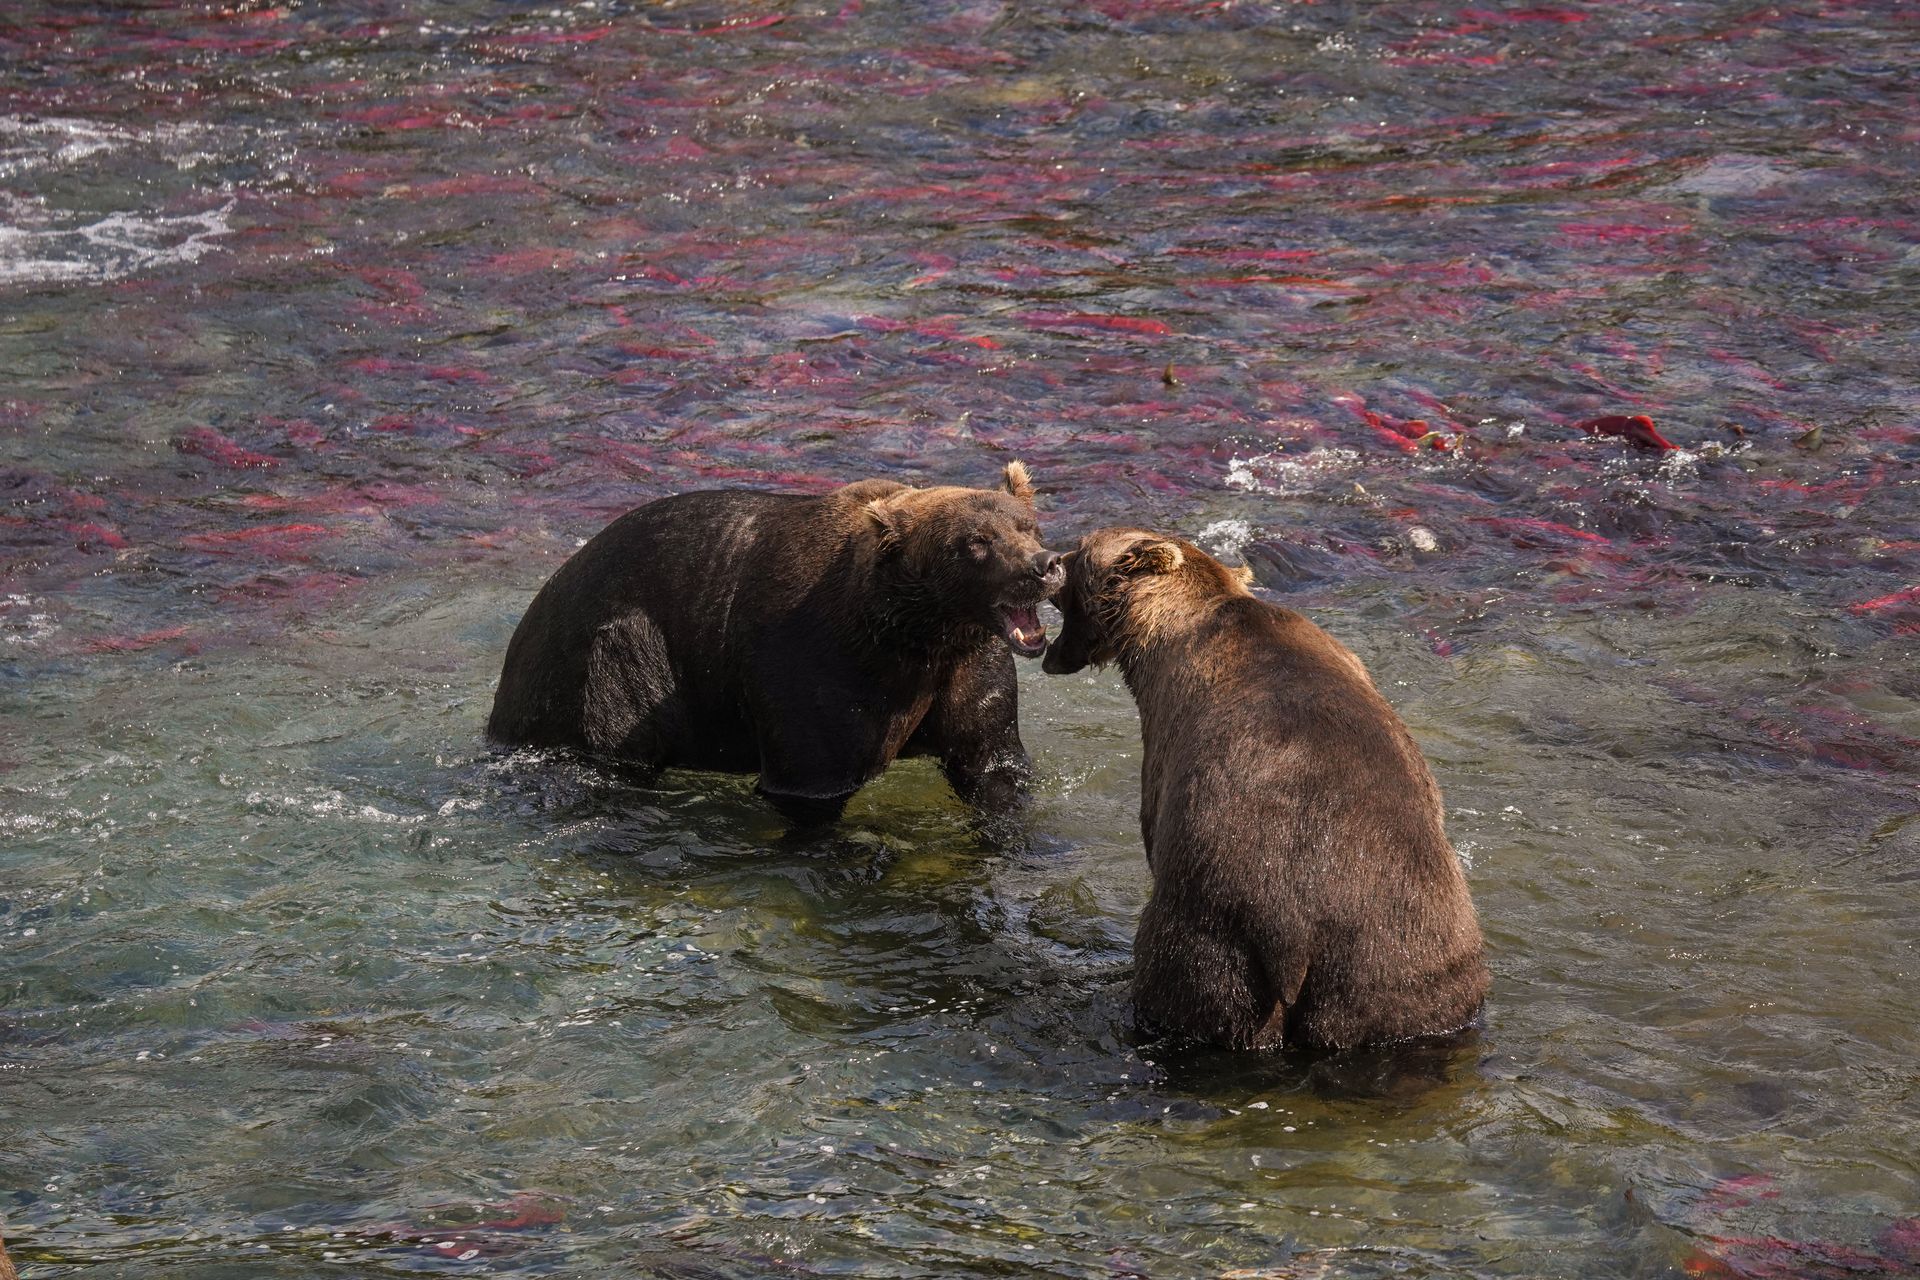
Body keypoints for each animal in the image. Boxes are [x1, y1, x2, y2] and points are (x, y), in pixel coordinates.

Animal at [488, 463, 1063, 825]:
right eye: (975, 542)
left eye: (1027, 525)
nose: (1044, 565)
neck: (914, 634)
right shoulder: (813, 664)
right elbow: (811, 777)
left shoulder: (964, 668)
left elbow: (991, 760)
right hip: (606, 659)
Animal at [1041, 528, 1488, 1050]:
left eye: (1081, 549)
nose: (1049, 560)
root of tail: (1294, 935)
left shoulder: (1163, 737)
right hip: (1393, 958)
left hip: (1220, 945)